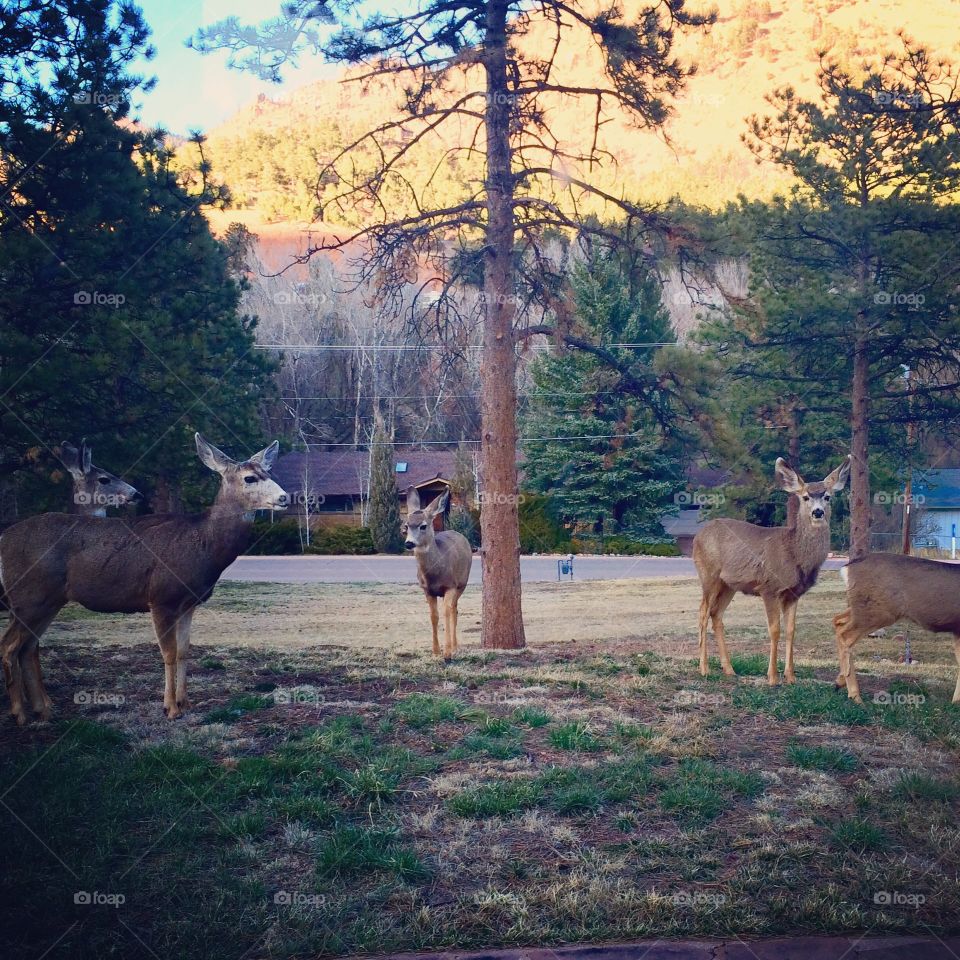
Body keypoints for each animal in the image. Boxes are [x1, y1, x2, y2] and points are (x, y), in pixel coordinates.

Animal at [0, 432, 284, 724]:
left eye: (268, 471)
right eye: (250, 478)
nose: (285, 497)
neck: (202, 543)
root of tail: (4, 538)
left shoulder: (189, 603)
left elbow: (185, 650)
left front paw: (185, 702)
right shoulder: (161, 597)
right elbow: (168, 652)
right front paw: (170, 708)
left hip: (46, 600)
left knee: (27, 646)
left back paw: (42, 709)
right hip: (29, 597)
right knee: (9, 646)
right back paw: (20, 713)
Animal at [402, 488, 472, 660]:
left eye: (423, 526)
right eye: (407, 525)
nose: (409, 543)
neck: (435, 573)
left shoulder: (450, 585)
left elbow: (446, 612)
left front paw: (447, 653)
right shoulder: (427, 590)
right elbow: (434, 616)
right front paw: (435, 652)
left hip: (462, 583)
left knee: (454, 609)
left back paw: (455, 647)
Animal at [692, 456, 852, 684]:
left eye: (827, 497)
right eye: (805, 497)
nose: (818, 512)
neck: (794, 554)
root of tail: (697, 536)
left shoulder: (794, 593)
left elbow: (791, 630)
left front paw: (791, 676)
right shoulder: (769, 587)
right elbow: (774, 630)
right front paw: (773, 677)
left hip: (729, 584)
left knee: (717, 614)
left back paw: (729, 669)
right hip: (708, 574)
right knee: (703, 613)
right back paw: (704, 669)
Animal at [832, 556, 960, 704]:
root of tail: (848, 567)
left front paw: (955, 701)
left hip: (864, 610)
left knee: (837, 621)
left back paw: (840, 681)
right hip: (878, 612)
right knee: (845, 634)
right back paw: (855, 695)